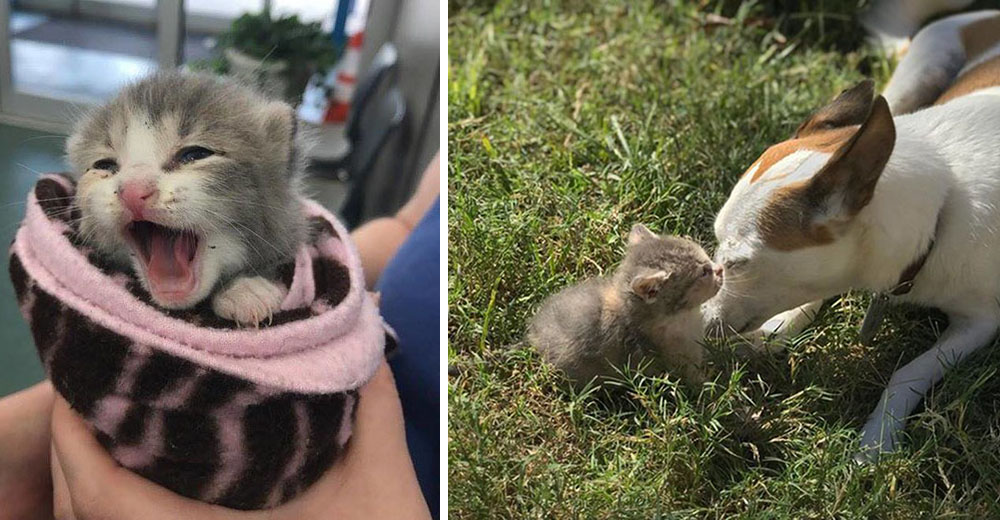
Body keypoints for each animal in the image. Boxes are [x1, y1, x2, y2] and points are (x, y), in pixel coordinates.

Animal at [528, 225, 724, 388]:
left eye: (707, 257)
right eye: (704, 272)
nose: (721, 269)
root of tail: (535, 331)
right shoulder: (680, 359)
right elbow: (696, 380)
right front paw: (712, 386)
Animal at [712, 8, 1000, 458]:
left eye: (737, 263)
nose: (703, 319)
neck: (940, 204)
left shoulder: (981, 323)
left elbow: (908, 372)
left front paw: (877, 440)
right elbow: (810, 297)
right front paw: (776, 330)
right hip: (913, 80)